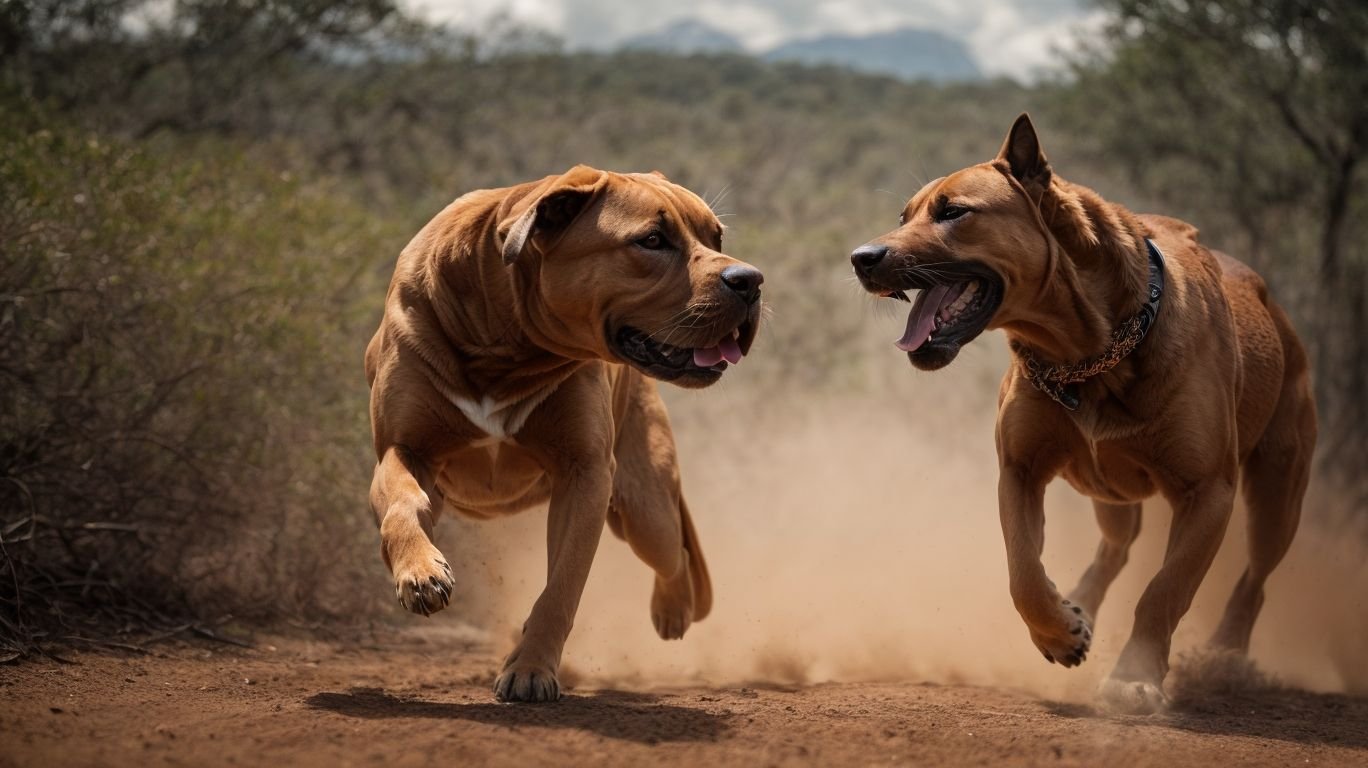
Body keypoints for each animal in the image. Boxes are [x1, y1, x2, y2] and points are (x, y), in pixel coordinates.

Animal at [363, 162, 766, 700]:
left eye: (715, 236)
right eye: (652, 240)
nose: (751, 280)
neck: (504, 345)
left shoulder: (585, 473)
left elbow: (561, 588)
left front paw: (531, 669)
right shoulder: (404, 449)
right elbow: (404, 505)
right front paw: (420, 573)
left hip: (647, 511)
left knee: (675, 554)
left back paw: (673, 607)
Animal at [853, 114, 1313, 711]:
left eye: (953, 212)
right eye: (903, 216)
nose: (861, 258)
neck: (1084, 354)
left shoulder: (1208, 490)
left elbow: (1165, 590)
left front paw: (1133, 678)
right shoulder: (1019, 470)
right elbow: (1023, 570)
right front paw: (1059, 630)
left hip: (1277, 495)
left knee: (1253, 580)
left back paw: (1224, 657)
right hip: (1111, 494)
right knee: (1115, 550)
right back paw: (1080, 604)